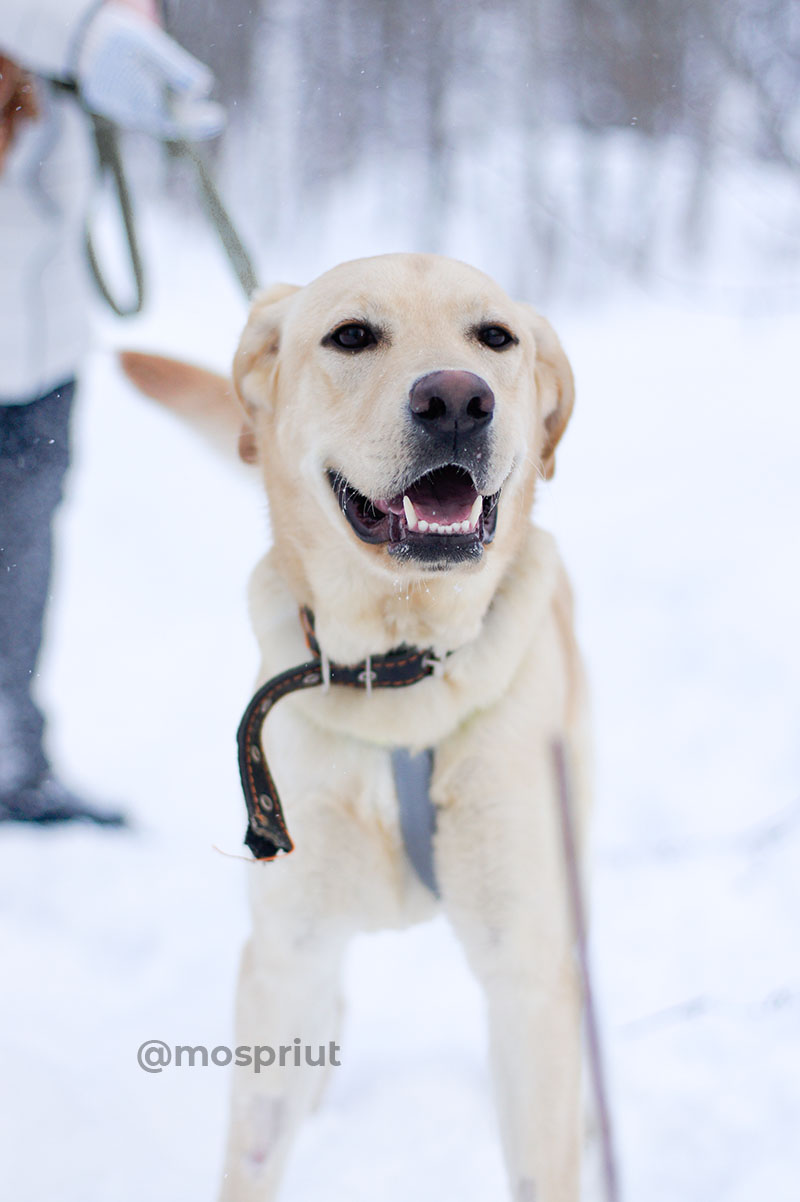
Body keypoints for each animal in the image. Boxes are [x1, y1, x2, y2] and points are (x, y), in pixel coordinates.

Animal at [121, 253, 588, 1202]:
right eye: (352, 336)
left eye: (496, 337)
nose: (458, 399)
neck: (402, 665)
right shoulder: (287, 958)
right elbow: (255, 1149)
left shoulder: (528, 974)